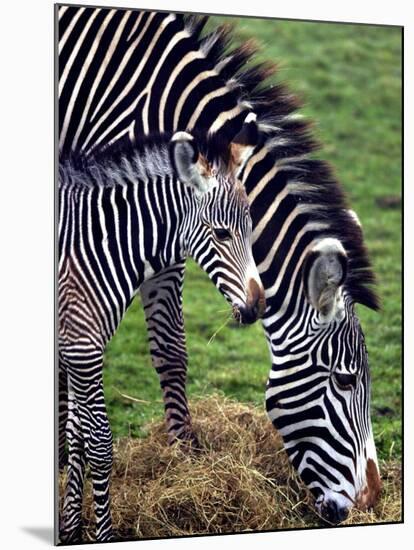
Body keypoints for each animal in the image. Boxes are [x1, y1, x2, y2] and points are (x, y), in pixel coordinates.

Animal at [57, 126, 266, 544]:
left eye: (252, 229)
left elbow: (76, 434)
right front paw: (102, 535)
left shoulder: (75, 348)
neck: (99, 245)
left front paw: (70, 527)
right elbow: (98, 442)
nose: (256, 308)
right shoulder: (82, 348)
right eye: (222, 233)